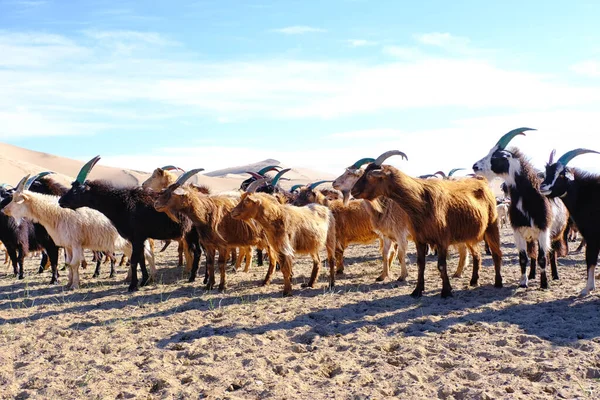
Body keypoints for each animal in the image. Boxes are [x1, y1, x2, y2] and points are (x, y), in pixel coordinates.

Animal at [58, 155, 202, 290]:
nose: (60, 201)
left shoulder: (136, 237)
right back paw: (192, 277)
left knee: (197, 251)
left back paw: (193, 276)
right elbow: (141, 259)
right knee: (197, 251)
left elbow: (134, 260)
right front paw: (144, 281)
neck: (122, 203)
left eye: (76, 190)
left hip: (193, 233)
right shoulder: (140, 238)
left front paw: (133, 286)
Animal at [352, 150, 502, 296]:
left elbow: (441, 265)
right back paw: (474, 281)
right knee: (477, 255)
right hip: (469, 234)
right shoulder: (419, 239)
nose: (353, 191)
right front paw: (417, 290)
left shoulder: (442, 240)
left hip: (491, 226)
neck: (421, 201)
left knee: (496, 253)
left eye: (370, 175)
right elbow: (420, 264)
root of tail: (483, 182)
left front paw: (446, 291)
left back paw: (498, 282)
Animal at [474, 130, 568, 290]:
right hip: (531, 237)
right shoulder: (518, 231)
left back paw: (555, 275)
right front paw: (524, 282)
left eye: (497, 156)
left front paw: (544, 284)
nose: (475, 166)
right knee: (533, 254)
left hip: (555, 234)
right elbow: (523, 258)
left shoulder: (543, 231)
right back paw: (532, 274)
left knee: (551, 254)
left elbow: (543, 258)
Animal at [540, 148, 600, 296]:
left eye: (561, 175)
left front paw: (587, 288)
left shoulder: (592, 237)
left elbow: (590, 259)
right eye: (546, 172)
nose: (543, 186)